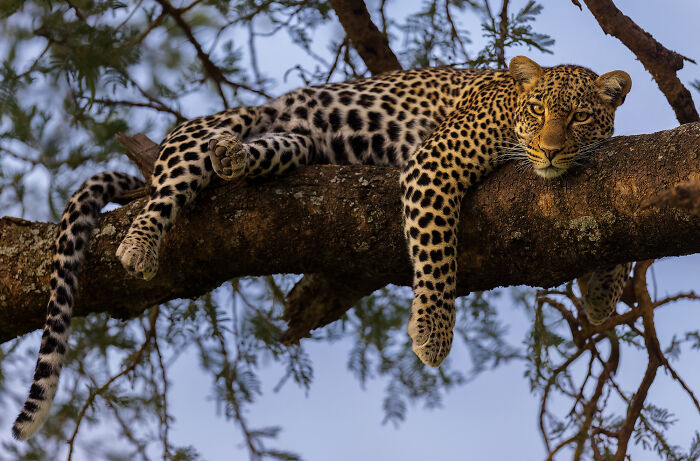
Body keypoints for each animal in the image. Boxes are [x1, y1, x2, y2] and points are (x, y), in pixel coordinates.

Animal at [13, 56, 633, 439]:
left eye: (579, 117)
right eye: (538, 111)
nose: (550, 151)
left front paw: (602, 293)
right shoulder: (434, 164)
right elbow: (436, 254)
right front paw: (433, 333)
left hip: (296, 146)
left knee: (256, 155)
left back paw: (233, 158)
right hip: (204, 131)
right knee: (168, 187)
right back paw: (142, 242)